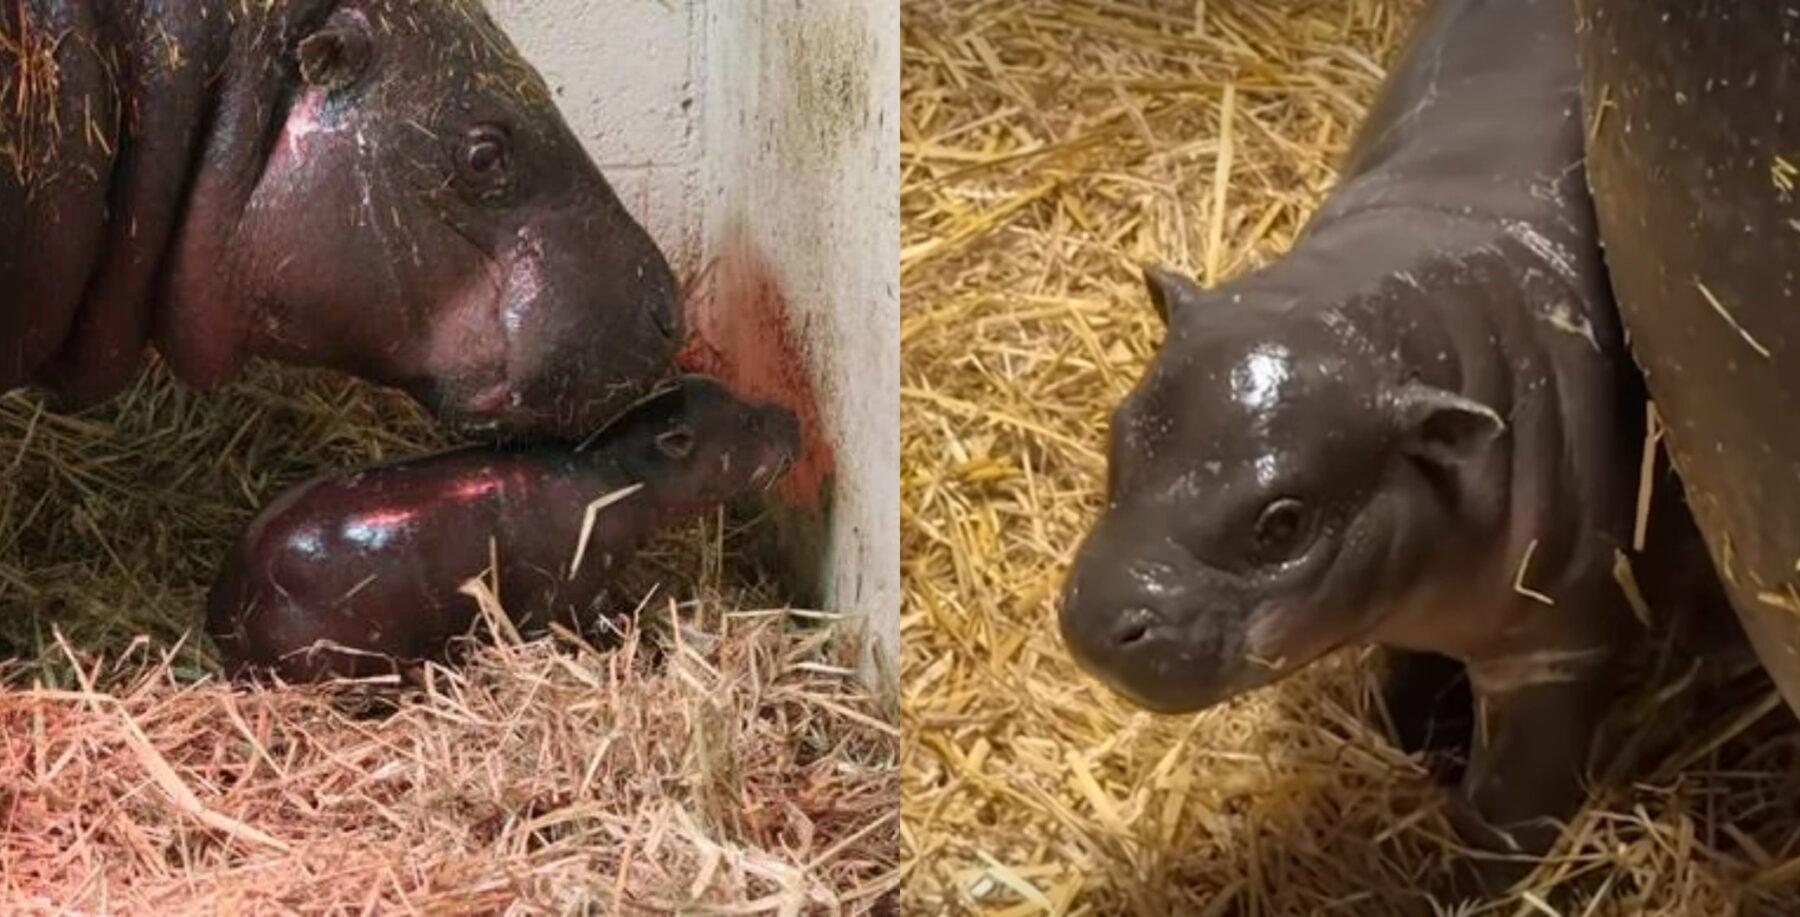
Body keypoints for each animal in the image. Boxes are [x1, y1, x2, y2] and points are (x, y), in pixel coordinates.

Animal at [207, 375, 799, 684]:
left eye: (741, 398)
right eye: (747, 422)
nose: (793, 416)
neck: (619, 473)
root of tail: (222, 604)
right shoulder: (563, 597)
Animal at [1058, 0, 1725, 871]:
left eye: (1284, 522)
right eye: (1121, 430)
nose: (1099, 622)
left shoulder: (1555, 649)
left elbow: (1512, 798)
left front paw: (1472, 869)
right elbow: (1402, 671)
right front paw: (1414, 731)